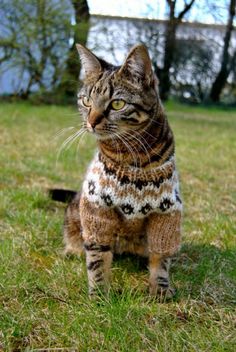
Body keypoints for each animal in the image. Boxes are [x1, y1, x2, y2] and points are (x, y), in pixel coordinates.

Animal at [59, 43, 183, 296]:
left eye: (117, 104)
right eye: (86, 101)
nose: (91, 122)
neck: (134, 159)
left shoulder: (167, 211)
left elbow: (161, 257)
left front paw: (160, 287)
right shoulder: (97, 205)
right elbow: (97, 256)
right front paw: (99, 293)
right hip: (76, 210)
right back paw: (73, 249)